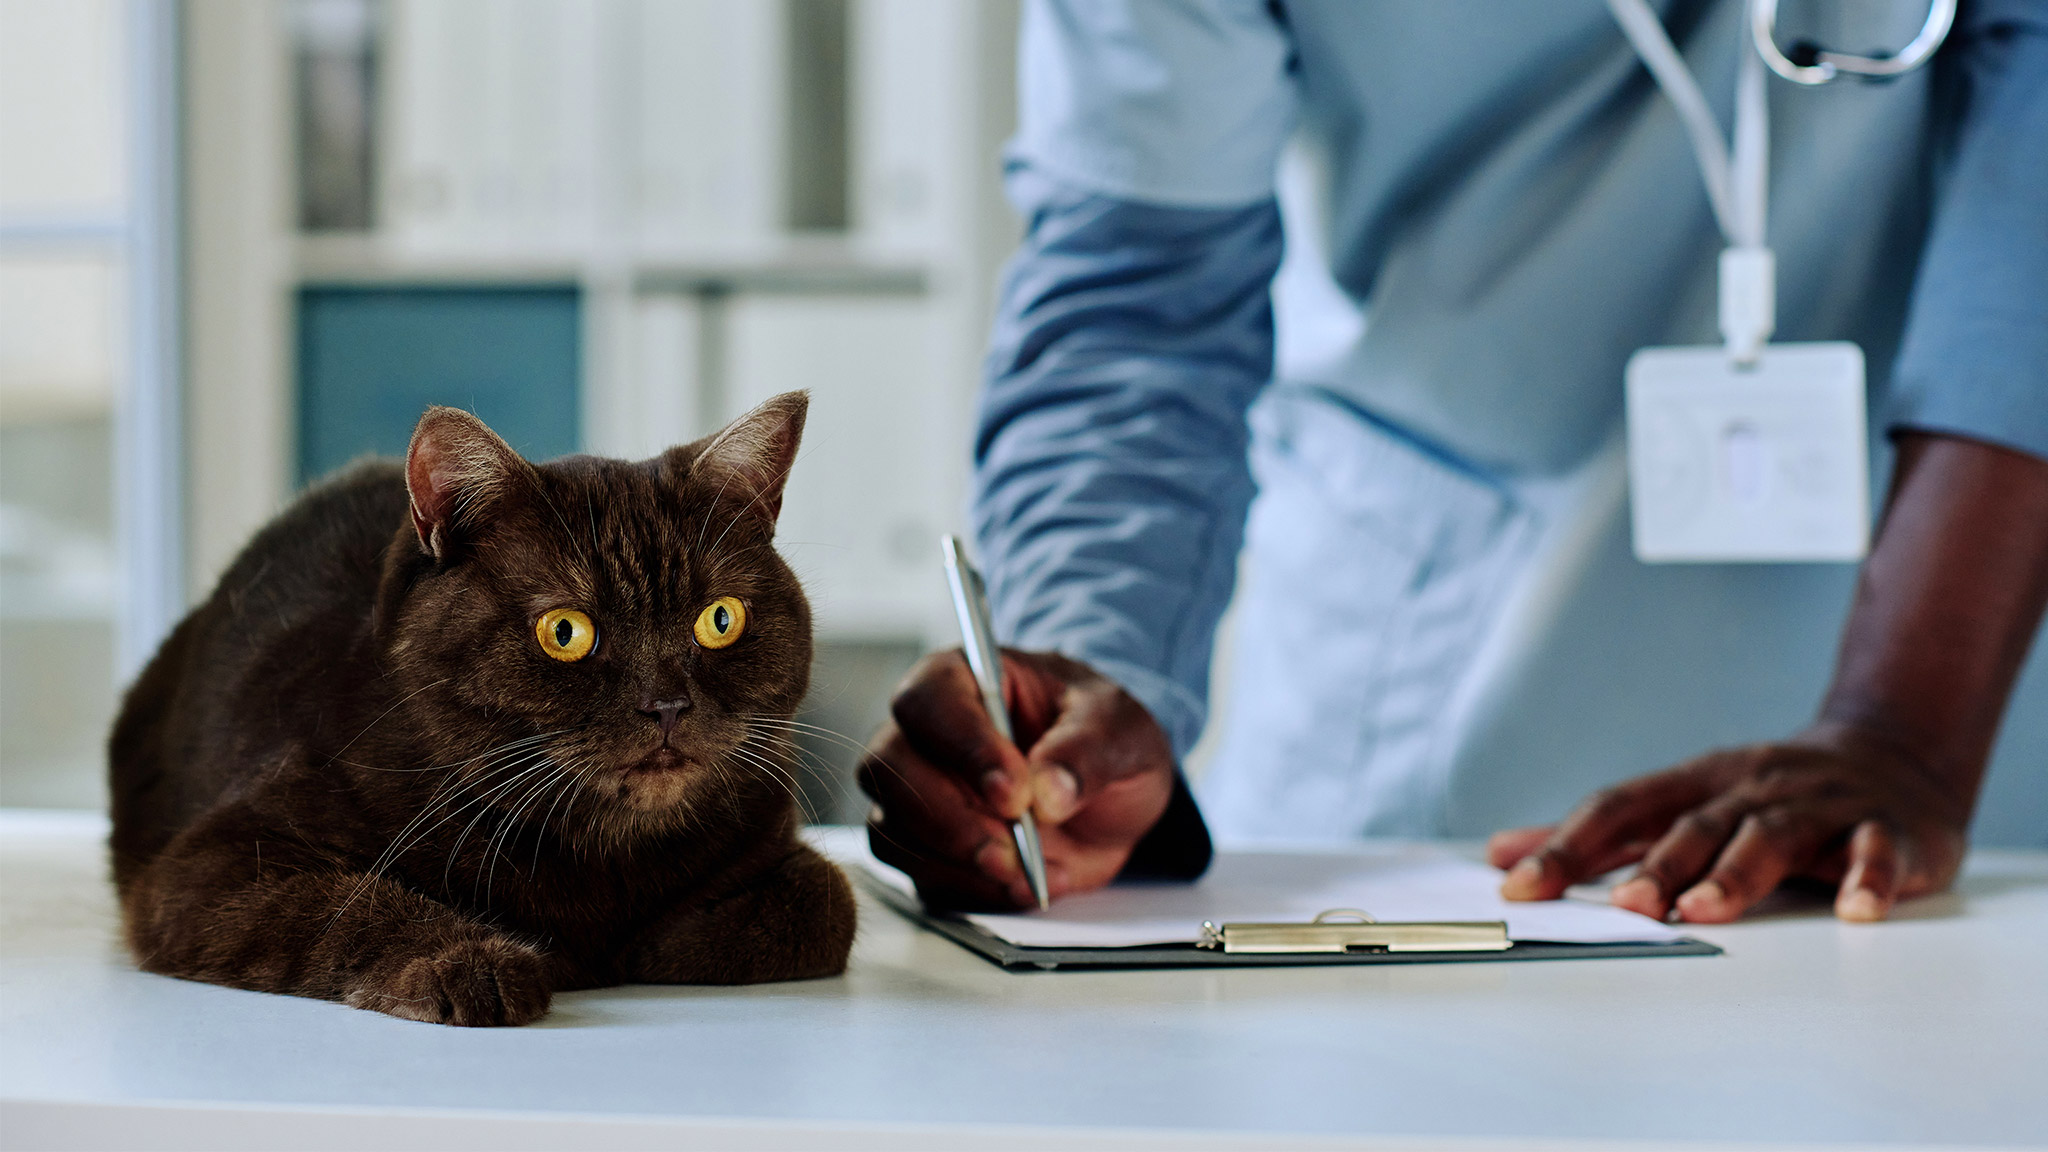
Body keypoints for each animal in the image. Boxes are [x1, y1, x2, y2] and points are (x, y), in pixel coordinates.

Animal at [108, 389, 856, 1016]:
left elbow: (827, 902)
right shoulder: (210, 863)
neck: (603, 851)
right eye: (564, 632)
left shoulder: (774, 825)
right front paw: (475, 963)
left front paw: (644, 943)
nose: (666, 705)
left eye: (720, 620)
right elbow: (342, 905)